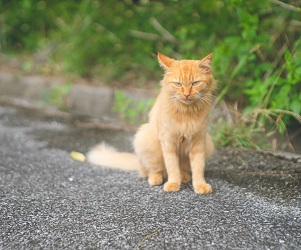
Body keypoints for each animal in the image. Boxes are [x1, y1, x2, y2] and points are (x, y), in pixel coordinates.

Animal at [88, 52, 214, 193]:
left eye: (195, 83)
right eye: (178, 84)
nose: (186, 94)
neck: (187, 112)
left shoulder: (198, 142)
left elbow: (198, 168)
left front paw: (200, 185)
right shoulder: (168, 143)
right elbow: (172, 167)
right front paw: (173, 184)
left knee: (184, 169)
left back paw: (185, 176)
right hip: (146, 139)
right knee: (154, 170)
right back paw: (156, 179)